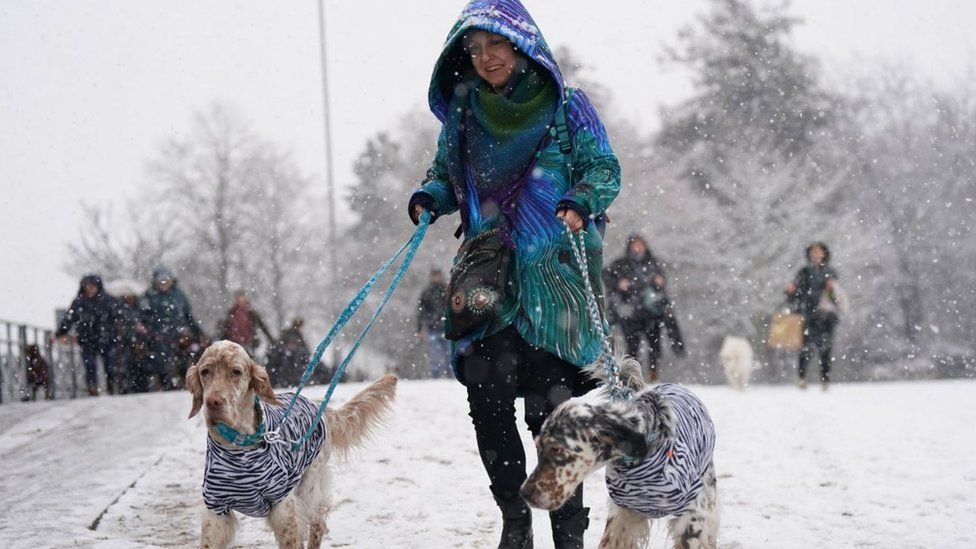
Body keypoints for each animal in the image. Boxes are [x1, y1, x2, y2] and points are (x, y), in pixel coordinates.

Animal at [183, 340, 396, 544]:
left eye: (236, 371)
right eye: (205, 371)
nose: (213, 402)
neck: (238, 447)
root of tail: (318, 406)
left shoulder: (284, 507)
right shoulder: (216, 510)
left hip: (309, 487)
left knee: (318, 525)